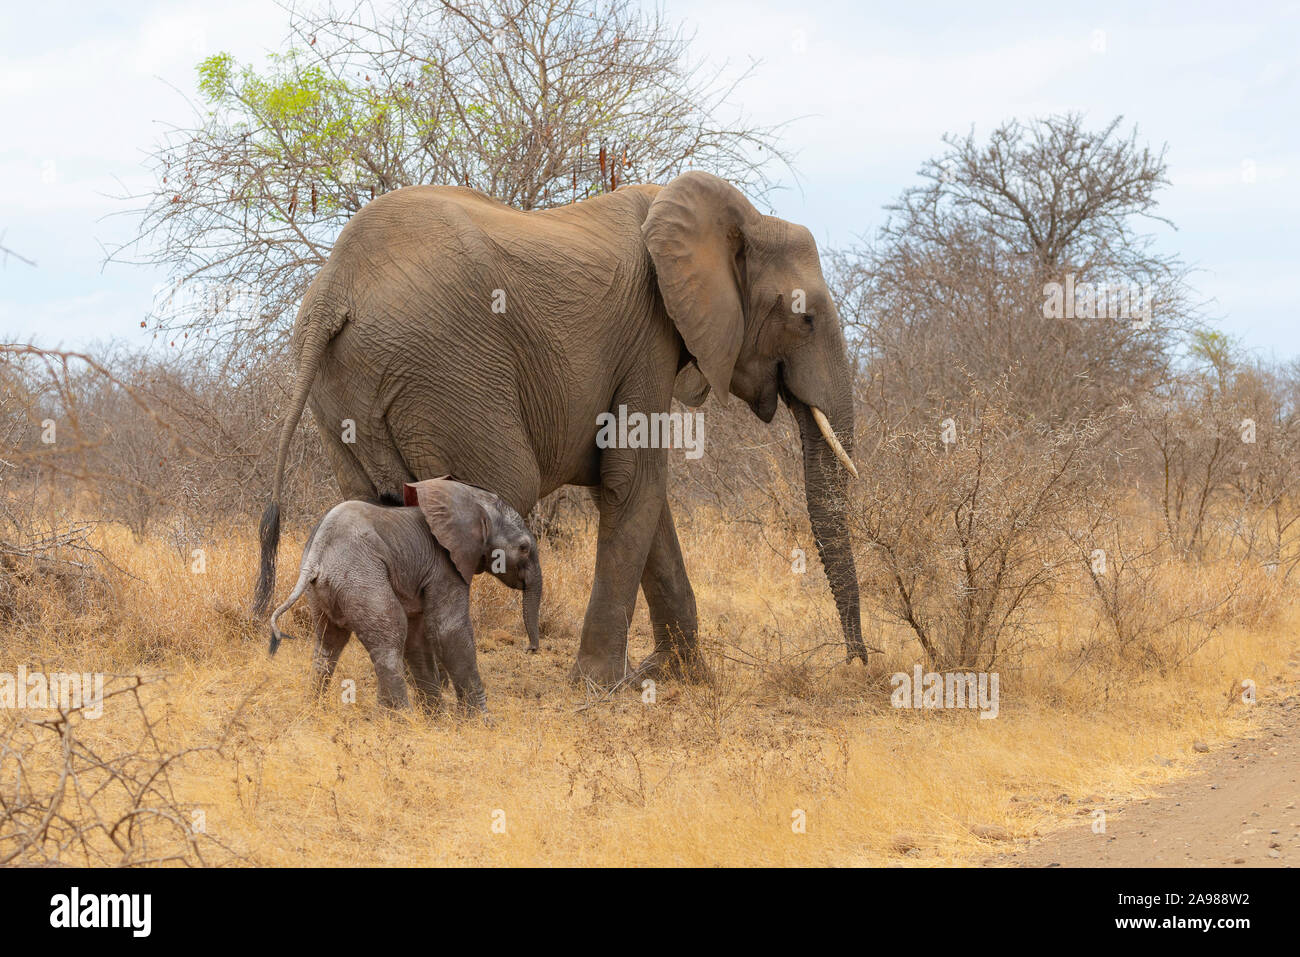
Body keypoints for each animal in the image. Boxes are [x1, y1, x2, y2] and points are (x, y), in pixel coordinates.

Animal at [253, 170, 866, 687]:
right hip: (442, 371)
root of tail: (334, 288)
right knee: (496, 491)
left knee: (376, 506)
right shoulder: (648, 332)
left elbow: (641, 496)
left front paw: (675, 677)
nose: (857, 663)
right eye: (805, 318)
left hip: (344, 396)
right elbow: (634, 479)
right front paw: (601, 687)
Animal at [267, 477, 542, 711]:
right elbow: (448, 631)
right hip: (360, 575)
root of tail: (317, 552)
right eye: (524, 547)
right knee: (390, 636)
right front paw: (480, 723)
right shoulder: (446, 566)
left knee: (328, 644)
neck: (470, 500)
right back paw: (399, 719)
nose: (530, 649)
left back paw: (315, 711)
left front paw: (437, 719)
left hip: (323, 589)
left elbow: (418, 638)